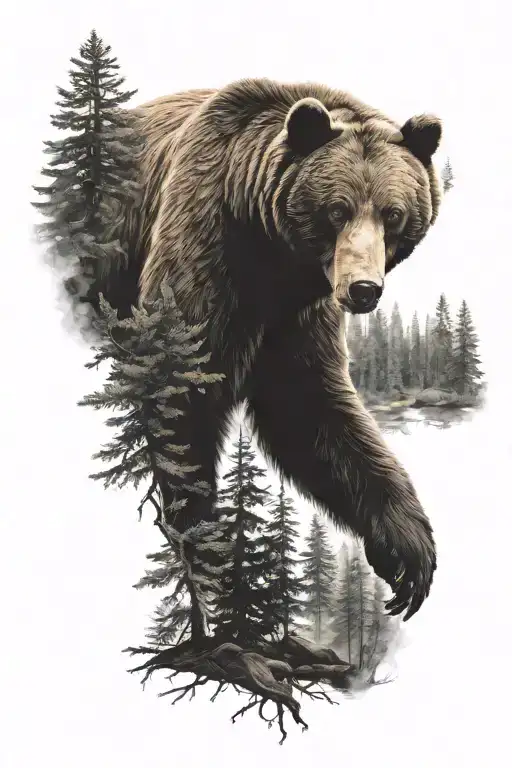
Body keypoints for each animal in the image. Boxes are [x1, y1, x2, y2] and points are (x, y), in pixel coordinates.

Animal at [103, 79, 442, 622]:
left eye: (392, 213)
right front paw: (209, 544)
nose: (363, 289)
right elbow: (180, 383)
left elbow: (310, 412)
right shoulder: (206, 249)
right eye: (337, 209)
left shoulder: (295, 317)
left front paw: (408, 552)